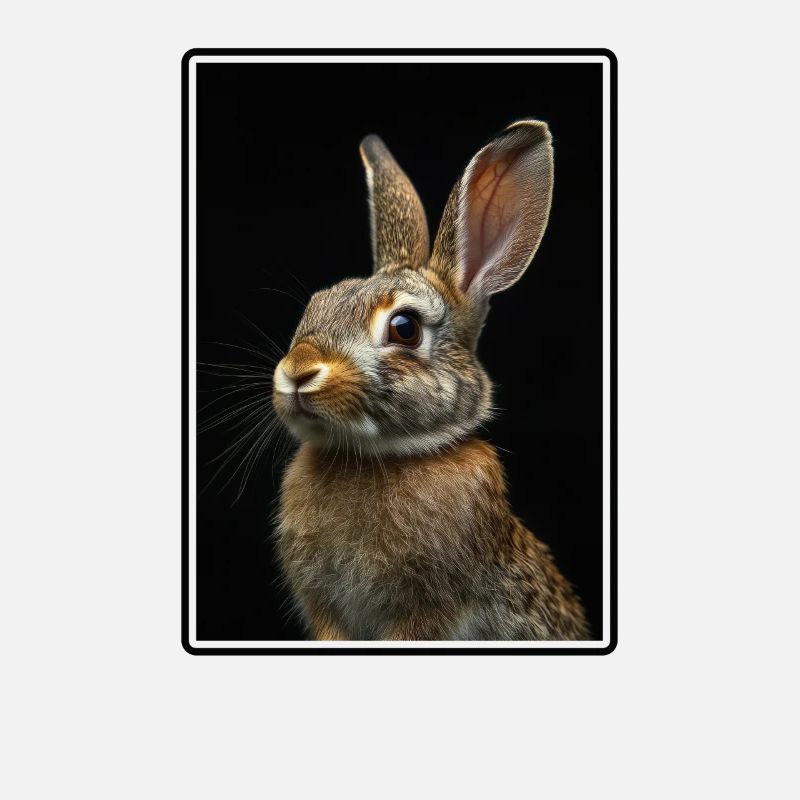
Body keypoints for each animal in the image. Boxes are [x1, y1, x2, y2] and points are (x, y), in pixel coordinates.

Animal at [271, 120, 589, 640]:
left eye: (405, 328)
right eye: (316, 305)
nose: (298, 373)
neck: (378, 456)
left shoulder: (425, 613)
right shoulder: (326, 613)